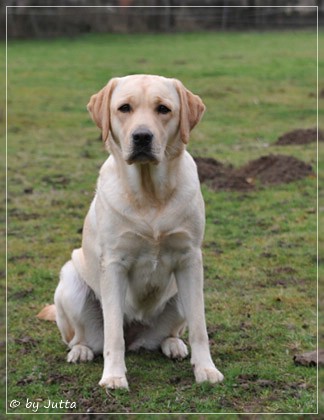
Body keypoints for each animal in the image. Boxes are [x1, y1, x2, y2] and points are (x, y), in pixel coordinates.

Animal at [39, 74, 224, 390]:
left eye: (163, 109)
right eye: (124, 108)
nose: (142, 137)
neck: (150, 195)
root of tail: (138, 334)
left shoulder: (190, 260)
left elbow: (200, 327)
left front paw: (206, 370)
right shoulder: (114, 264)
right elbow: (114, 333)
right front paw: (114, 376)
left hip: (180, 293)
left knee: (171, 332)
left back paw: (173, 345)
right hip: (71, 282)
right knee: (83, 338)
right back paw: (80, 351)